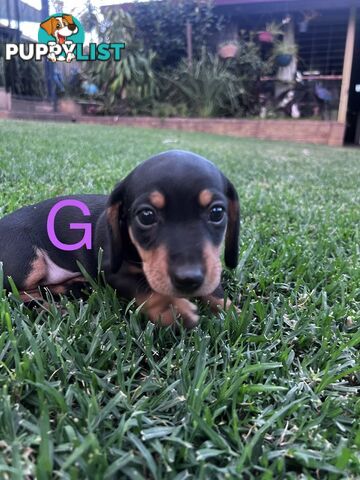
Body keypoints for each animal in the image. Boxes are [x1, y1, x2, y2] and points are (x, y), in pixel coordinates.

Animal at [0, 152, 239, 328]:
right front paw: (171, 309)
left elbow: (215, 288)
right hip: (29, 263)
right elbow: (144, 287)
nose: (189, 279)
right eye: (146, 216)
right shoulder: (111, 270)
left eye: (217, 212)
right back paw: (51, 309)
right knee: (14, 294)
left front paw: (230, 310)